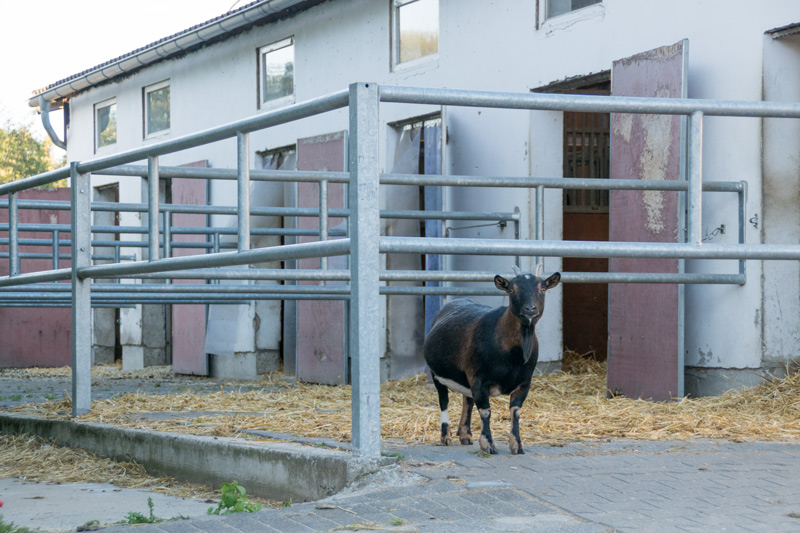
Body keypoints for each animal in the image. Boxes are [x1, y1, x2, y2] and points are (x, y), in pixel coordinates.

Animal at [422, 266, 560, 454]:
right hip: (436, 373)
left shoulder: (524, 382)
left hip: (465, 378)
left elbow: (516, 412)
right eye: (512, 289)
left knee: (467, 400)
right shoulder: (479, 378)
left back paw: (465, 435)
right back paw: (446, 437)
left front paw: (517, 444)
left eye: (543, 289)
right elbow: (486, 412)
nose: (530, 309)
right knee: (444, 401)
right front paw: (488, 444)